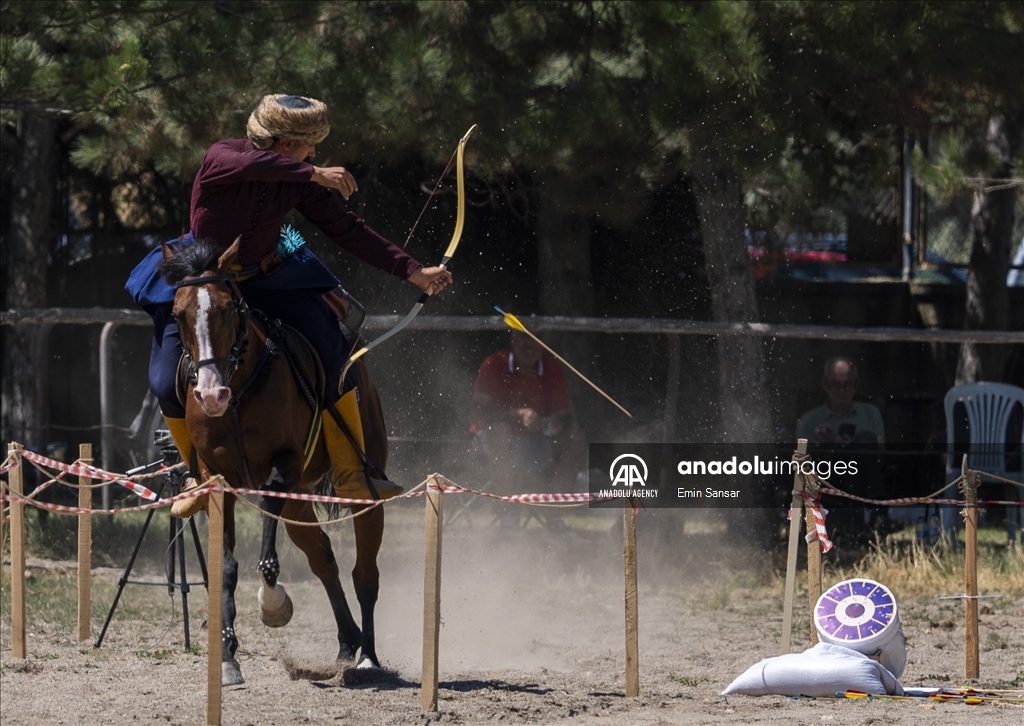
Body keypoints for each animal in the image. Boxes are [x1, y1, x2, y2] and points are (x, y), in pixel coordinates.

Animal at [161, 239, 389, 684]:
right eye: (178, 314)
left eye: (228, 308)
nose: (211, 394)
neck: (239, 394)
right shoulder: (219, 478)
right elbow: (226, 567)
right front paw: (228, 656)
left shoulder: (284, 464)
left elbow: (267, 556)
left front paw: (272, 605)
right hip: (300, 501)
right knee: (323, 559)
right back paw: (347, 640)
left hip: (360, 486)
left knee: (365, 572)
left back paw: (368, 656)